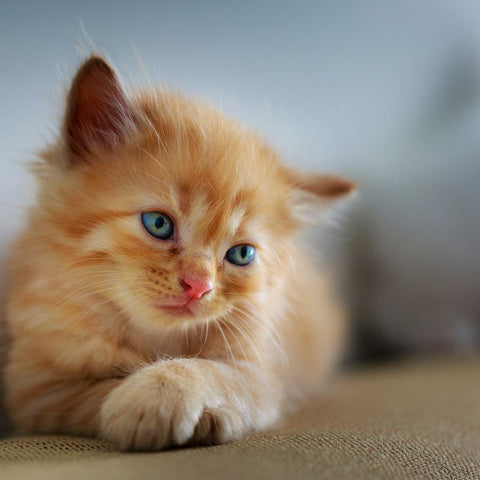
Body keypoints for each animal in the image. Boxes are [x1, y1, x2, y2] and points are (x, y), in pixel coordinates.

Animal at [3, 56, 354, 450]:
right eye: (158, 224)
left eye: (241, 254)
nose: (198, 286)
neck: (155, 338)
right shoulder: (37, 390)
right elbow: (95, 393)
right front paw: (144, 407)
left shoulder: (260, 374)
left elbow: (210, 370)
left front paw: (165, 394)